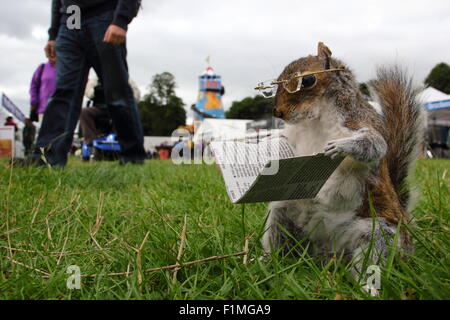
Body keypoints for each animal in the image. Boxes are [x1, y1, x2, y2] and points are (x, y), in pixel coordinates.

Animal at [262, 41, 424, 276]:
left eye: (308, 80)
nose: (277, 112)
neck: (316, 119)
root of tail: (327, 250)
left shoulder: (360, 122)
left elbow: (375, 145)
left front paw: (342, 147)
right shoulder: (293, 139)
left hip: (380, 233)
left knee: (373, 255)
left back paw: (363, 283)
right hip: (282, 215)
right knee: (279, 238)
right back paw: (265, 262)